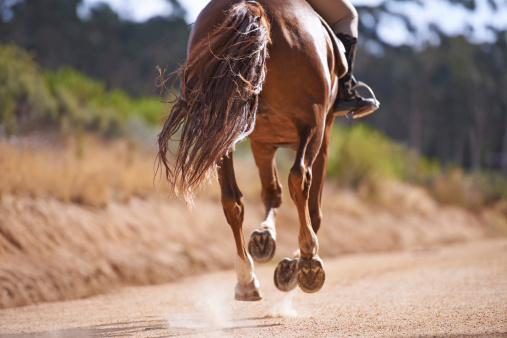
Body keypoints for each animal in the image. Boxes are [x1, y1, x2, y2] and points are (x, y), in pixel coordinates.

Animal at [159, 0, 350, 302]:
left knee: (232, 201)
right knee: (300, 179)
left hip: (222, 127)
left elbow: (271, 192)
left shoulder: (262, 141)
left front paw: (265, 237)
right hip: (313, 124)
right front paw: (294, 262)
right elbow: (309, 204)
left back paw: (247, 279)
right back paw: (307, 260)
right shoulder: (323, 129)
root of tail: (258, 7)